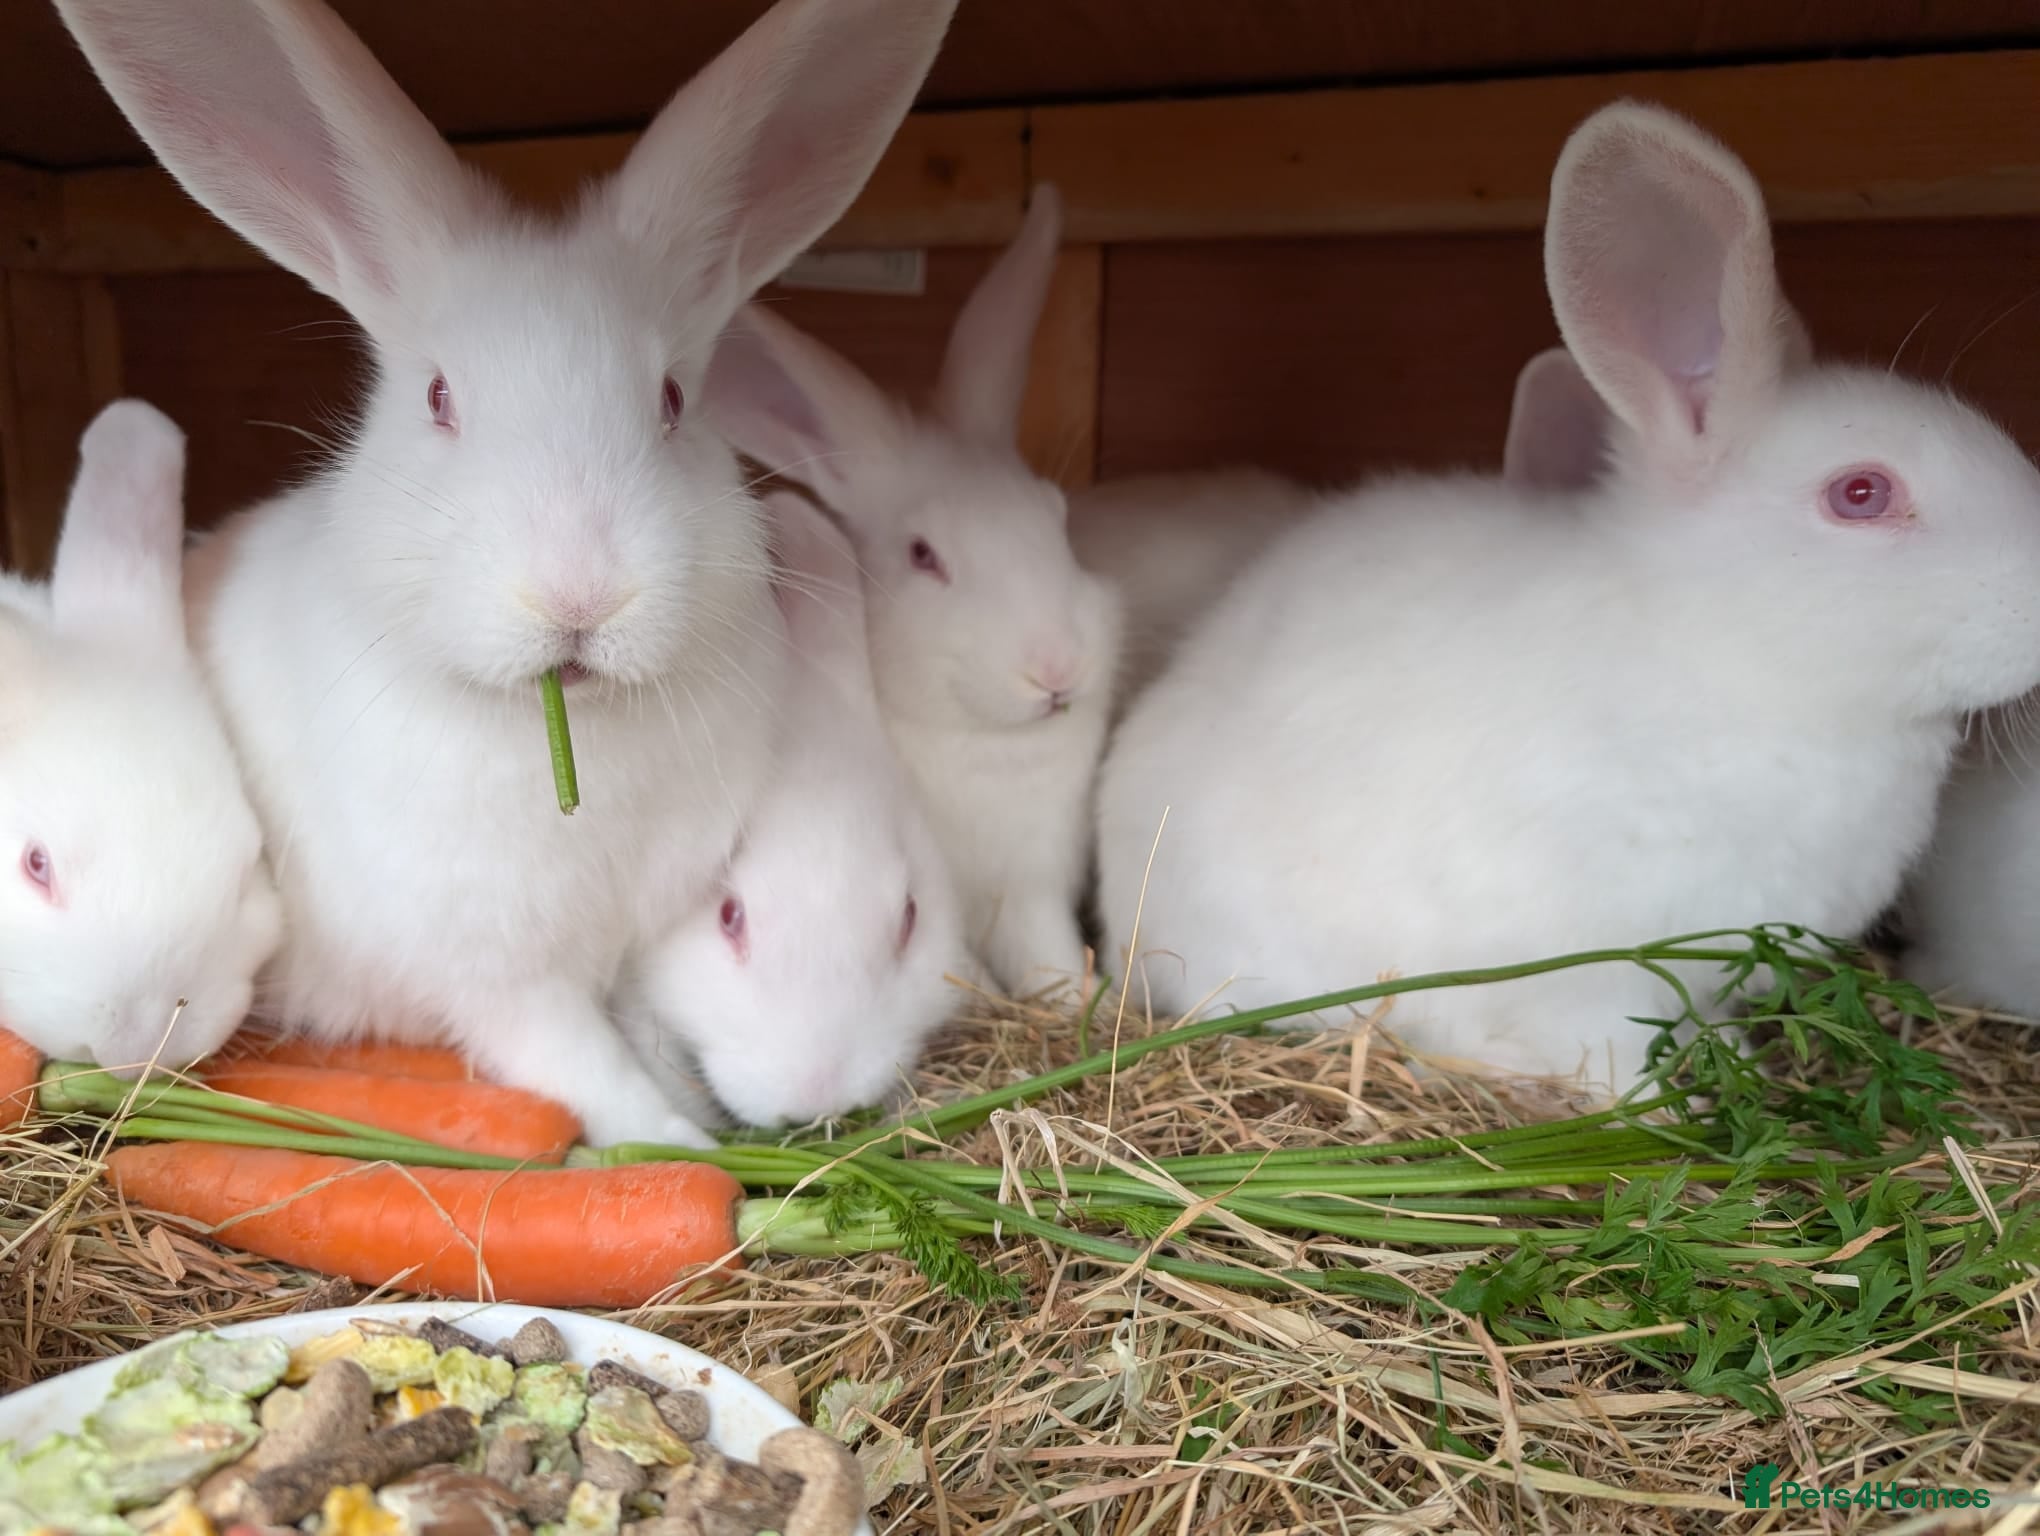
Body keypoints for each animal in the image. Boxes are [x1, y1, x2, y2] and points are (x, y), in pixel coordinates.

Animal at [705, 184, 1124, 995]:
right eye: (924, 556)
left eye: (1057, 515)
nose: (1057, 669)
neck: (984, 744)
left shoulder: (1030, 891)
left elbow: (1047, 951)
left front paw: (1082, 993)